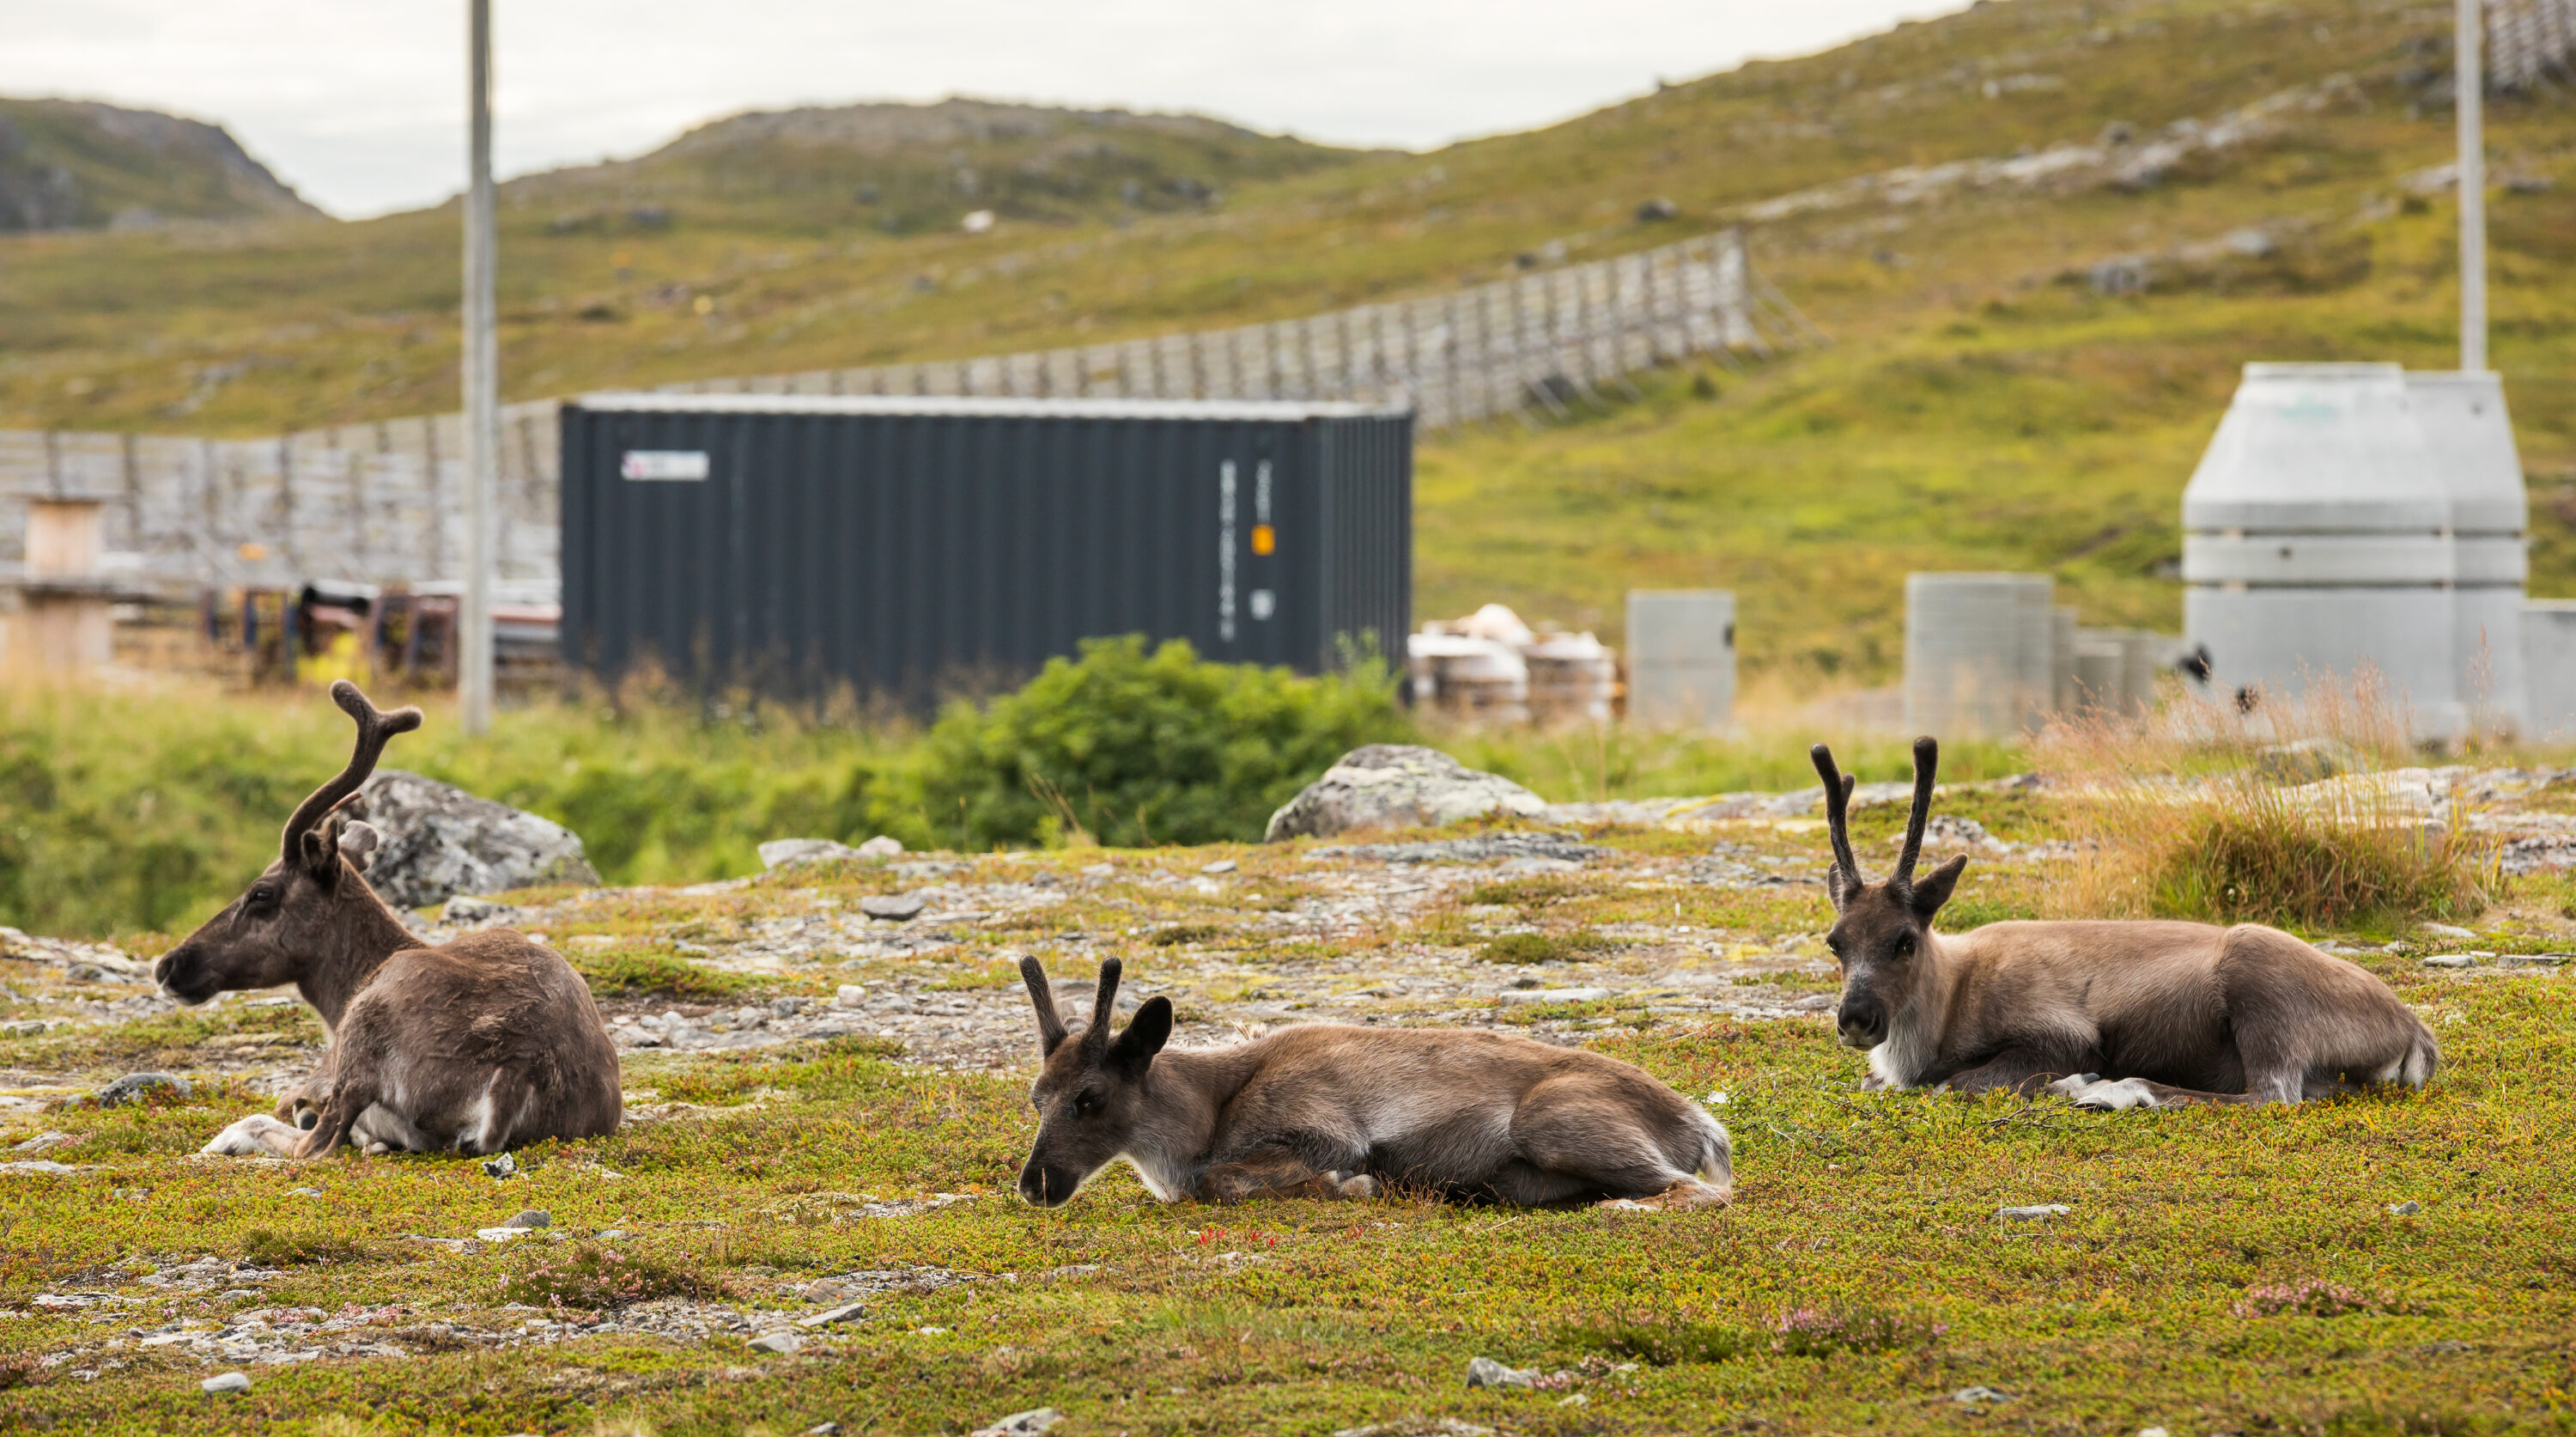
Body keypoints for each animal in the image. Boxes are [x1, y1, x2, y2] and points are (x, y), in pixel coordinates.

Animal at [157, 680, 623, 1159]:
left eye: (261, 893)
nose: (169, 965)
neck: (339, 995)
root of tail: (515, 1074)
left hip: (362, 1034)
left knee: (314, 1143)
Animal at [1012, 956, 1731, 1209]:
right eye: (1036, 1096)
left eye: (1090, 1096)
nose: (1035, 1184)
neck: (1206, 1116)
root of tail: (1700, 1122)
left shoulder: (1327, 1130)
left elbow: (1221, 1181)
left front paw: (1350, 1186)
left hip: (1553, 1123)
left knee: (1703, 1191)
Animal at [1808, 736, 2437, 1110]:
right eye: (1835, 941)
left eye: (1905, 940)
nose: (1856, 1020)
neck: (1952, 994)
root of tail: (2412, 1028)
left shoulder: (2062, 1032)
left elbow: (1959, 1082)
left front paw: (2075, 1079)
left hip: (2262, 991)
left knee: (2267, 1096)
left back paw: (2106, 1088)